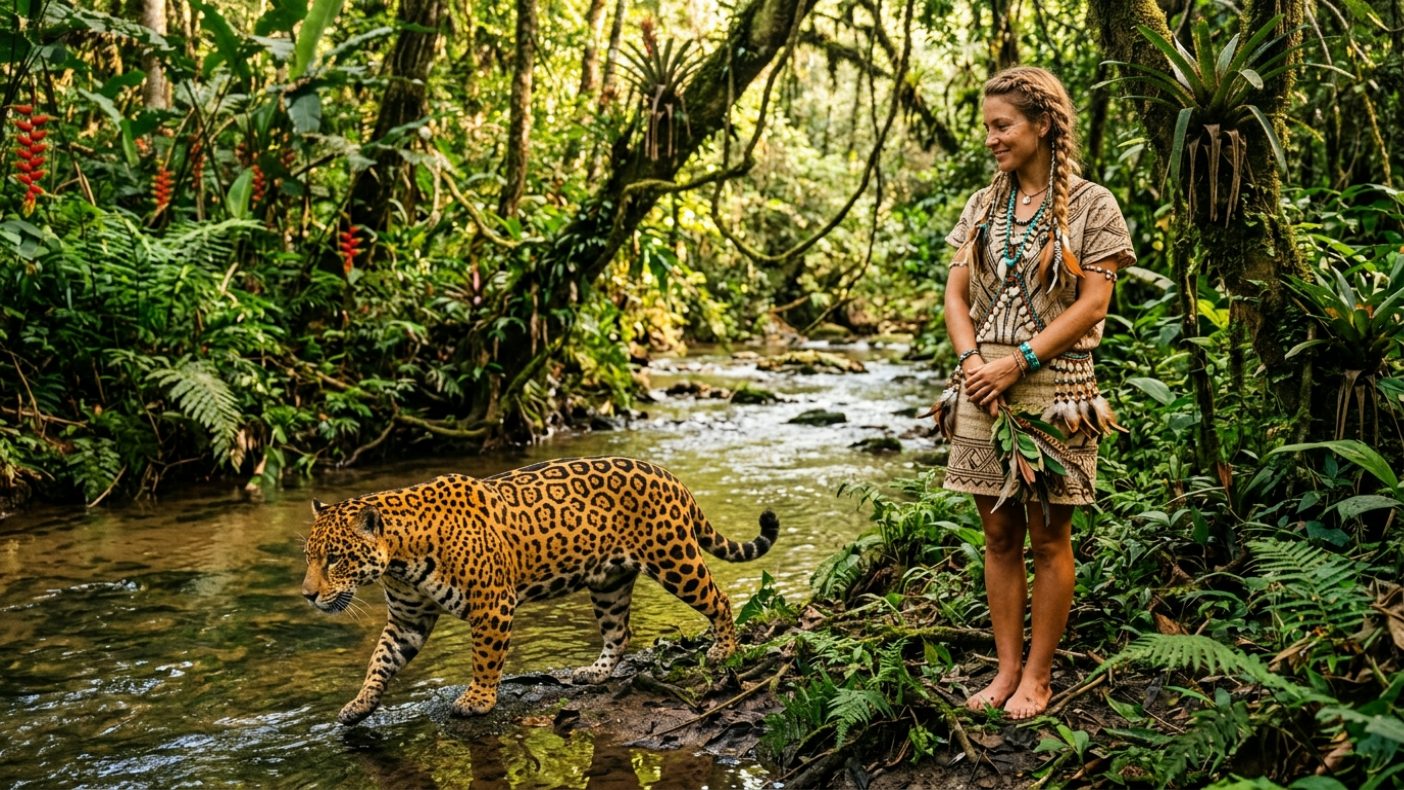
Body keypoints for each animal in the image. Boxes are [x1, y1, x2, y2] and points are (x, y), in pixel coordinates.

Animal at [300, 456, 779, 725]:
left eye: (334, 559)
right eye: (308, 556)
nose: (307, 595)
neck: (401, 557)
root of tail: (670, 475)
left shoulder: (492, 605)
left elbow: (485, 658)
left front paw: (478, 700)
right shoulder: (407, 619)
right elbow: (380, 661)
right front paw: (359, 705)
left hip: (674, 559)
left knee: (719, 598)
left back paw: (724, 649)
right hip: (608, 582)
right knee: (618, 632)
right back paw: (595, 673)